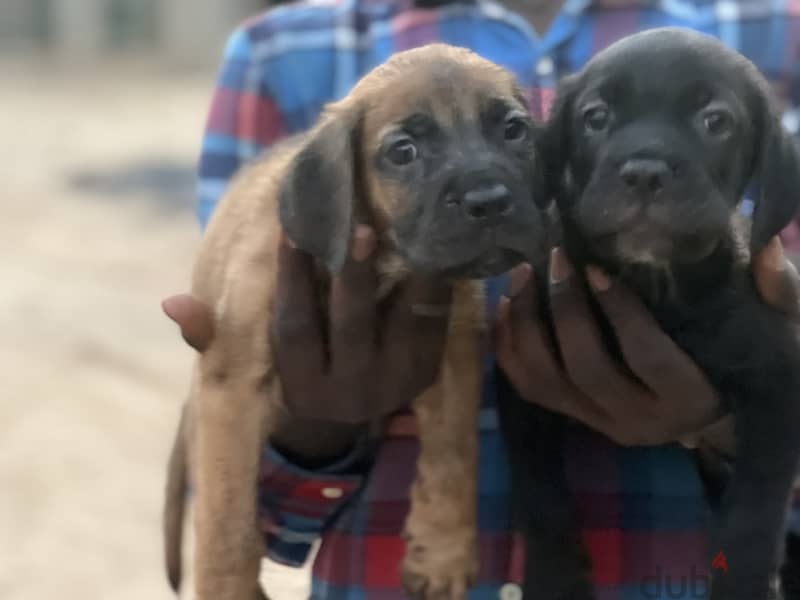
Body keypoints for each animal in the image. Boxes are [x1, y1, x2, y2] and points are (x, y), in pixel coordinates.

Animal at [500, 29, 800, 600]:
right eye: (596, 117)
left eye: (715, 120)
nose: (644, 171)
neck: (654, 286)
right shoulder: (523, 385)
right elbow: (538, 495)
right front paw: (556, 579)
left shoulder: (778, 387)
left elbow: (755, 512)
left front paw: (744, 584)